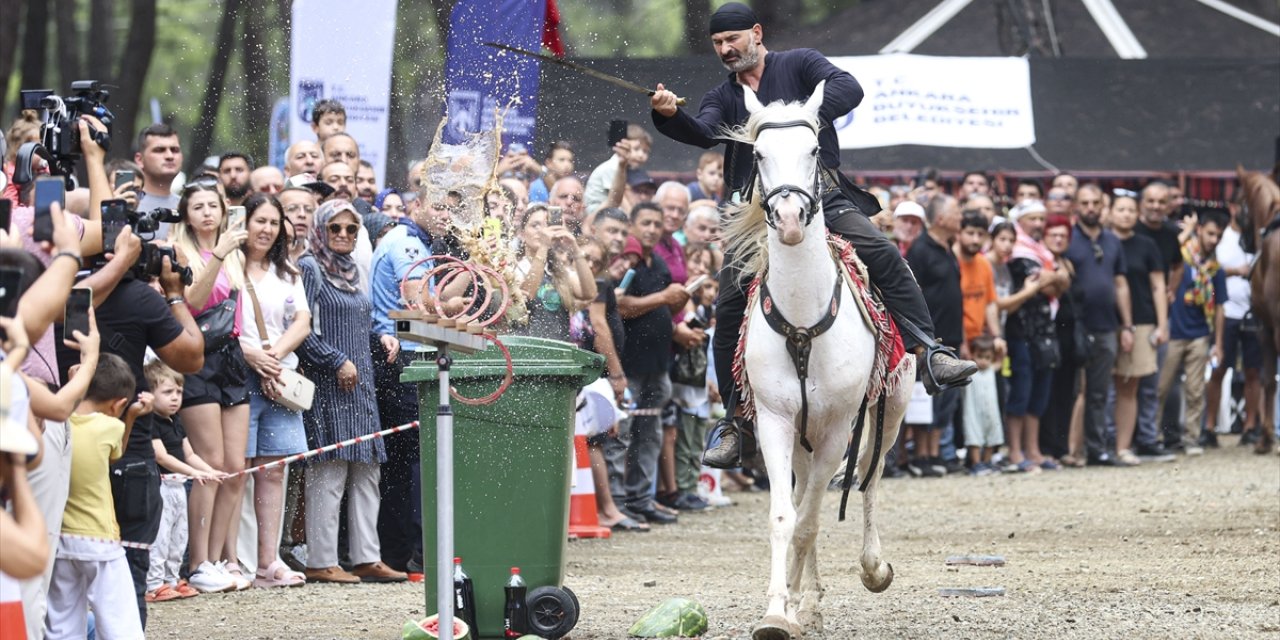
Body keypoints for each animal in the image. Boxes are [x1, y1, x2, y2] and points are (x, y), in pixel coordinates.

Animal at [721, 81, 921, 640]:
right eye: (758, 154)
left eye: (813, 150)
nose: (790, 221)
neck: (804, 320)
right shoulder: (775, 421)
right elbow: (786, 518)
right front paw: (779, 611)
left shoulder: (837, 428)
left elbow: (811, 520)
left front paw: (788, 604)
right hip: (802, 436)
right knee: (808, 491)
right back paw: (806, 603)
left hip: (892, 406)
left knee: (870, 476)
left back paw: (873, 568)